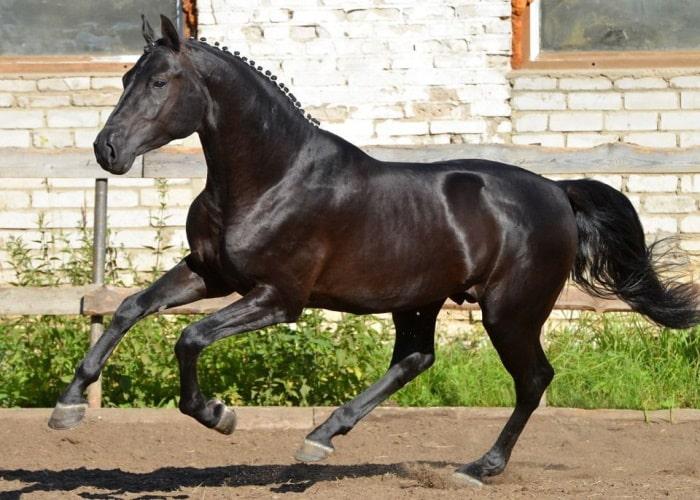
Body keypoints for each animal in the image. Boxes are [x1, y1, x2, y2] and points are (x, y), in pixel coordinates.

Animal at [46, 17, 696, 486]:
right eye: (125, 78)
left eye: (160, 82)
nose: (107, 150)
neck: (270, 177)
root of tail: (558, 192)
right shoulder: (209, 274)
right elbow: (128, 308)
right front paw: (68, 407)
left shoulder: (278, 298)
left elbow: (190, 337)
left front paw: (219, 416)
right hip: (422, 300)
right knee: (414, 360)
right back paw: (320, 438)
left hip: (509, 312)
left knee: (532, 379)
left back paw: (477, 469)